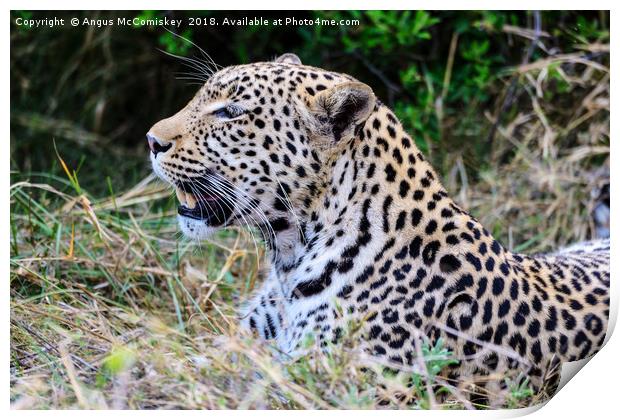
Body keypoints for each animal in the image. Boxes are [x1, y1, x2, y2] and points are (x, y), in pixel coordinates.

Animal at [149, 53, 612, 406]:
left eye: (231, 113)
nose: (152, 141)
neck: (291, 256)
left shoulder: (329, 387)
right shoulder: (241, 345)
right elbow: (172, 365)